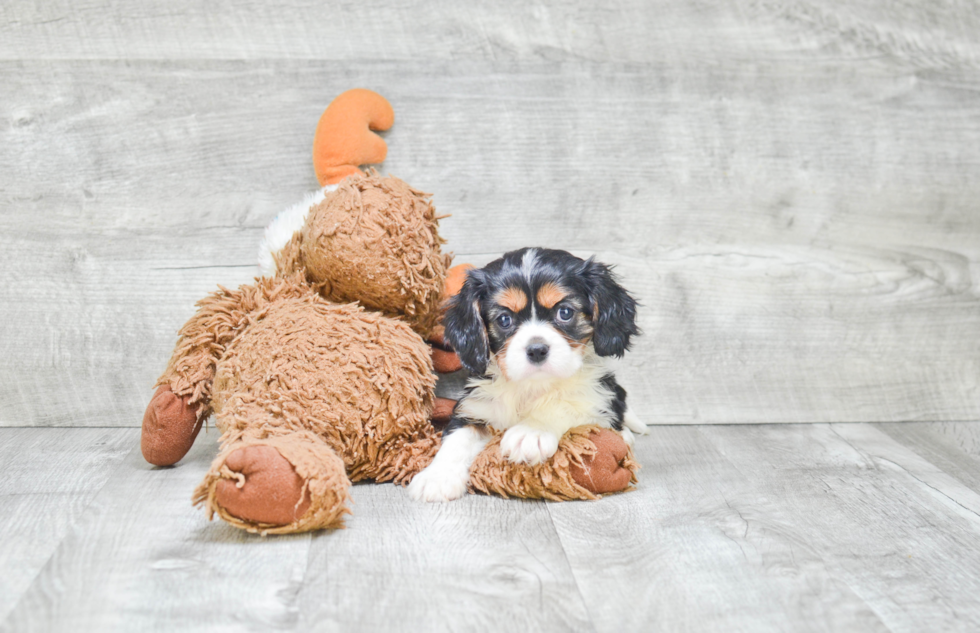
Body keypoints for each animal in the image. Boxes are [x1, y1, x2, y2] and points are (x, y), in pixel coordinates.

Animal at [406, 244, 644, 502]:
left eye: (565, 312)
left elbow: (565, 405)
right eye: (504, 319)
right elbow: (457, 439)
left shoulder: (596, 398)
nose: (537, 349)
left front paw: (532, 431)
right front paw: (437, 477)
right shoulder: (475, 407)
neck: (531, 386)